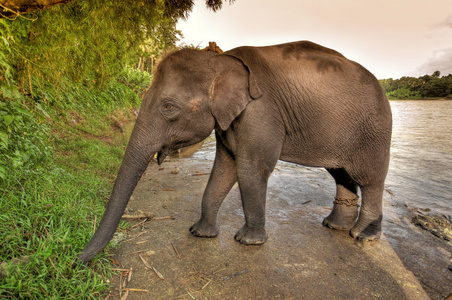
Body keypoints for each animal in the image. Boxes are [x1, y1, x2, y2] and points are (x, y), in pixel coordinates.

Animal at [77, 40, 392, 264]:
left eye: (168, 107)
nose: (75, 261)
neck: (220, 58)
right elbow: (224, 167)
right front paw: (200, 233)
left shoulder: (261, 111)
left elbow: (250, 168)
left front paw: (247, 242)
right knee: (342, 175)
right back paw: (334, 226)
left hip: (374, 130)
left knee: (369, 178)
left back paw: (362, 236)